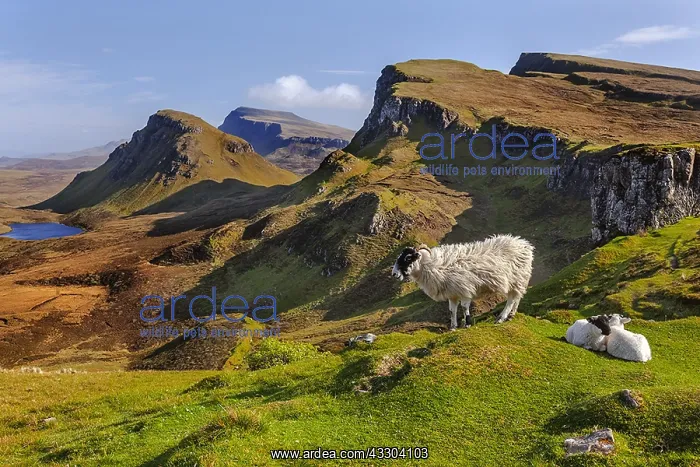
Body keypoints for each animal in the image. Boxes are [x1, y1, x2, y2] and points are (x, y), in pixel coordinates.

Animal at [391, 234, 534, 330]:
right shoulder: (452, 293)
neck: (432, 266)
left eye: (408, 258)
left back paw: (501, 318)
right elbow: (452, 310)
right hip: (519, 281)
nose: (394, 274)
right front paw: (453, 327)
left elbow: (465, 307)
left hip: (516, 279)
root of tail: (524, 244)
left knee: (511, 299)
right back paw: (511, 315)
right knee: (517, 297)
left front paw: (467, 324)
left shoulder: (465, 289)